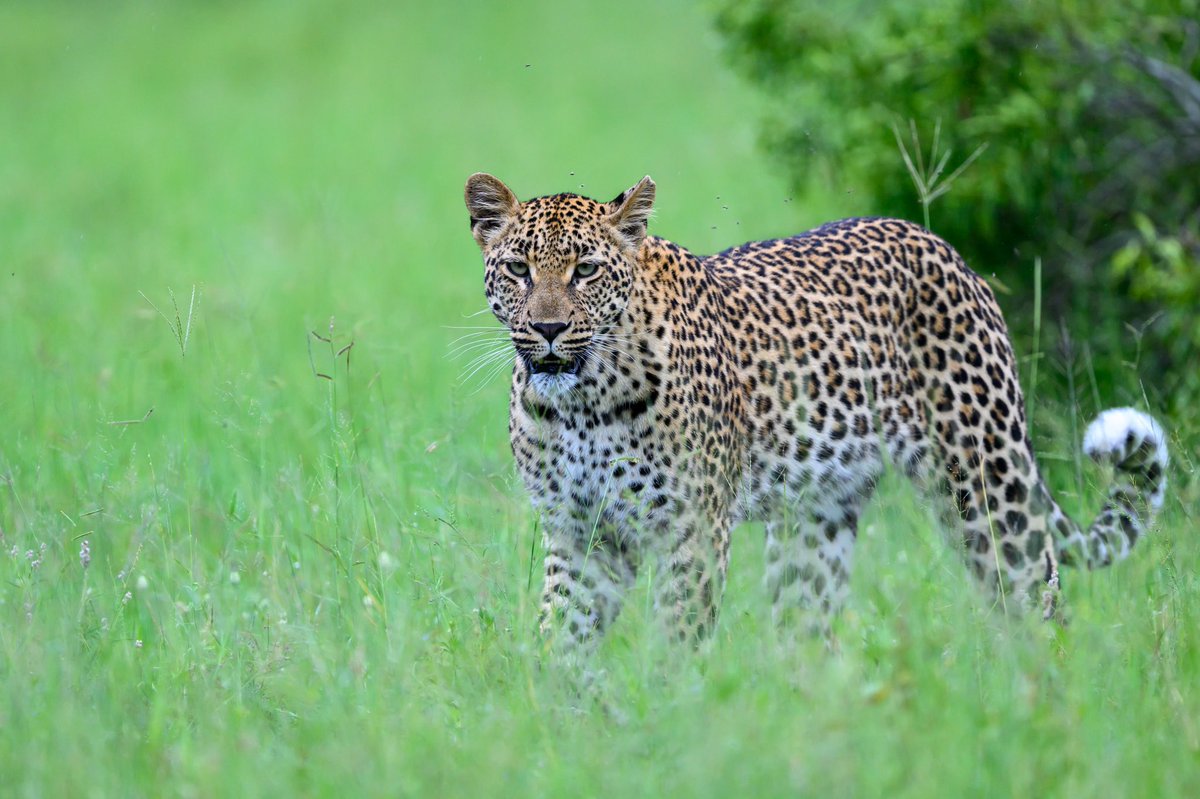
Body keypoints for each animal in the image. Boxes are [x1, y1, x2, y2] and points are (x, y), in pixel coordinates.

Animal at [463, 172, 1169, 657]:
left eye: (585, 269)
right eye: (518, 269)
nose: (548, 329)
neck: (583, 402)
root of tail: (935, 240)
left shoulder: (694, 530)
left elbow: (677, 641)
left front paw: (667, 723)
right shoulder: (576, 530)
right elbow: (563, 640)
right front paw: (564, 725)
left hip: (988, 485)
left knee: (1035, 600)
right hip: (817, 518)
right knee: (811, 636)